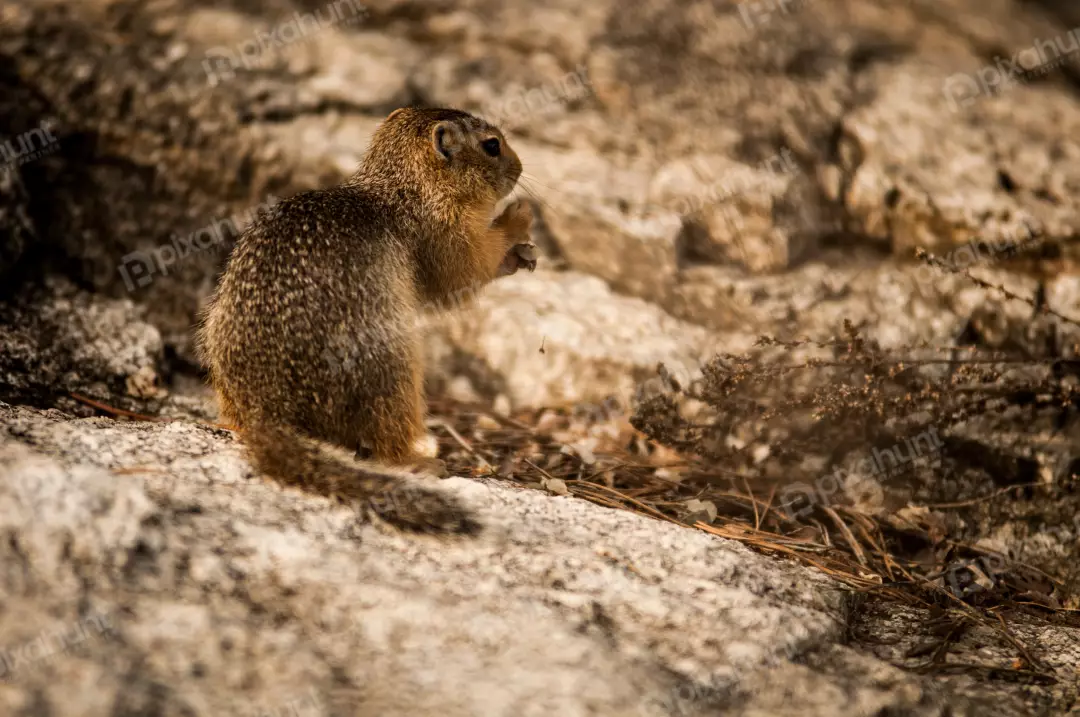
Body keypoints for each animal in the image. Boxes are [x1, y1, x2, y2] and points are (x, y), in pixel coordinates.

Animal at [196, 107, 537, 534]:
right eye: (492, 145)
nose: (521, 168)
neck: (402, 186)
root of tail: (265, 408)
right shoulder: (446, 232)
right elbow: (467, 268)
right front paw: (518, 219)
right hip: (395, 369)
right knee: (384, 436)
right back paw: (422, 461)